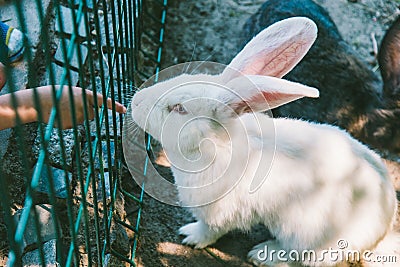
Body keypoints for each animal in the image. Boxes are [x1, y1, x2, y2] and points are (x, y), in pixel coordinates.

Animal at [127, 17, 396, 266]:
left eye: (179, 108)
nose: (136, 101)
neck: (215, 145)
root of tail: (383, 226)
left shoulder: (220, 213)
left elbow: (210, 230)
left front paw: (189, 236)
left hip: (305, 237)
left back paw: (262, 254)